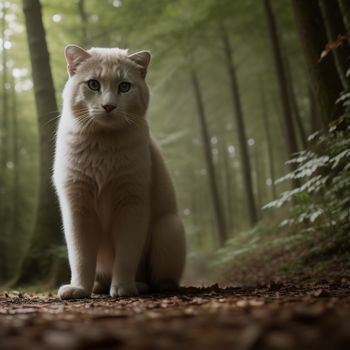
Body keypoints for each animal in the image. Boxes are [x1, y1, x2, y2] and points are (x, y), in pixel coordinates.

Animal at [52, 45, 186, 300]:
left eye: (124, 86)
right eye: (93, 84)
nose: (109, 106)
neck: (102, 146)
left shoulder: (131, 204)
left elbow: (126, 255)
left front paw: (123, 286)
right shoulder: (77, 206)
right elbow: (80, 256)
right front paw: (79, 288)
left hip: (169, 227)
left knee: (159, 279)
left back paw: (144, 285)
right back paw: (97, 286)